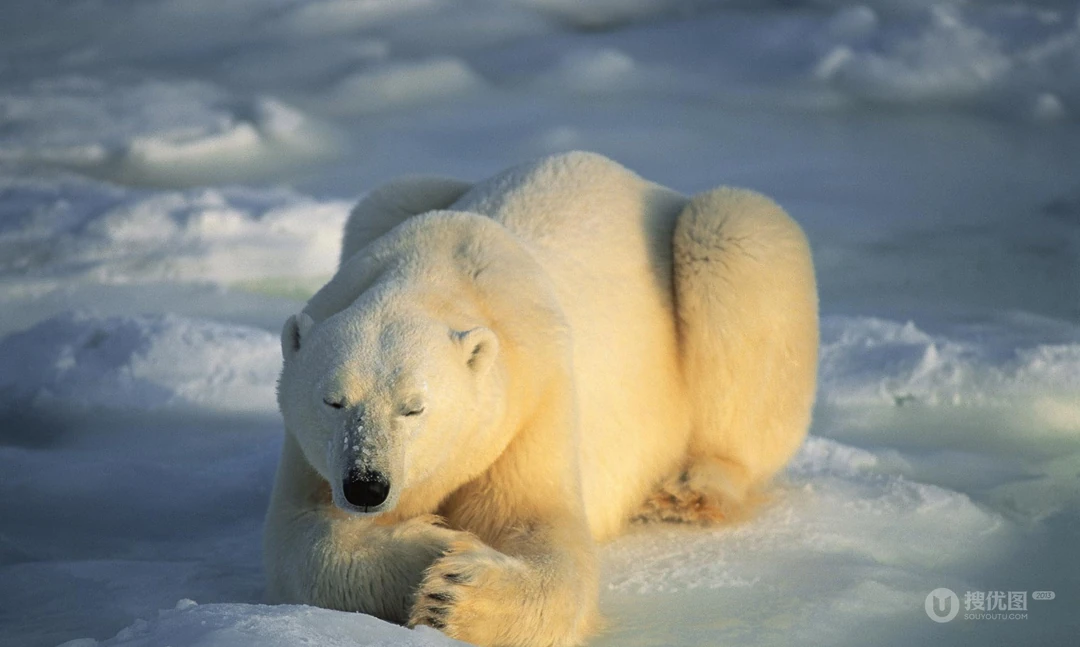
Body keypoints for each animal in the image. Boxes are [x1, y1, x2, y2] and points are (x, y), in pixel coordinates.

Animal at [264, 151, 818, 647]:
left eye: (414, 407)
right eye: (333, 401)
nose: (366, 485)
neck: (438, 271)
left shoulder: (532, 399)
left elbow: (543, 529)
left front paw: (454, 593)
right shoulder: (312, 453)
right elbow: (301, 538)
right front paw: (434, 545)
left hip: (721, 250)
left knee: (735, 237)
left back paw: (691, 489)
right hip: (392, 201)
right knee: (386, 195)